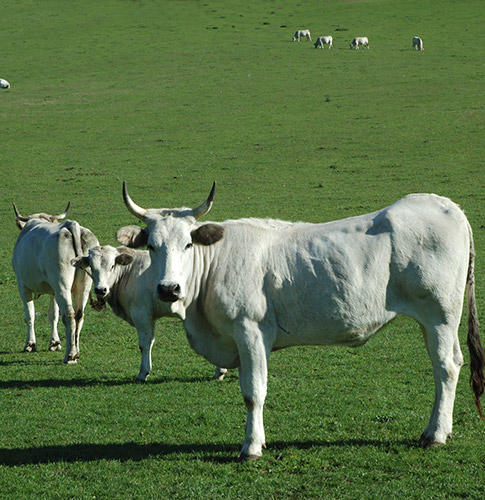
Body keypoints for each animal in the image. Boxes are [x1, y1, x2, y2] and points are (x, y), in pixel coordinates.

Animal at [12, 203, 98, 364]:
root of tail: (72, 225)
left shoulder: (22, 285)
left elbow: (30, 315)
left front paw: (30, 344)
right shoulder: (53, 291)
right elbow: (53, 315)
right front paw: (55, 343)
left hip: (62, 286)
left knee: (69, 315)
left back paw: (70, 356)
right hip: (82, 286)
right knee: (79, 315)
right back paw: (76, 352)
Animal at [70, 247, 227, 382]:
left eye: (112, 266)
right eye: (91, 266)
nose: (100, 289)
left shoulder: (141, 314)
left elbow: (144, 344)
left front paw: (143, 373)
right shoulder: (150, 316)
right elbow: (150, 342)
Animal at [115, 182, 482, 458]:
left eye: (189, 243)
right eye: (151, 245)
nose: (168, 288)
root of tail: (447, 206)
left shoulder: (250, 331)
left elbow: (253, 391)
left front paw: (251, 447)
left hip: (440, 315)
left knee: (446, 367)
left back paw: (435, 434)